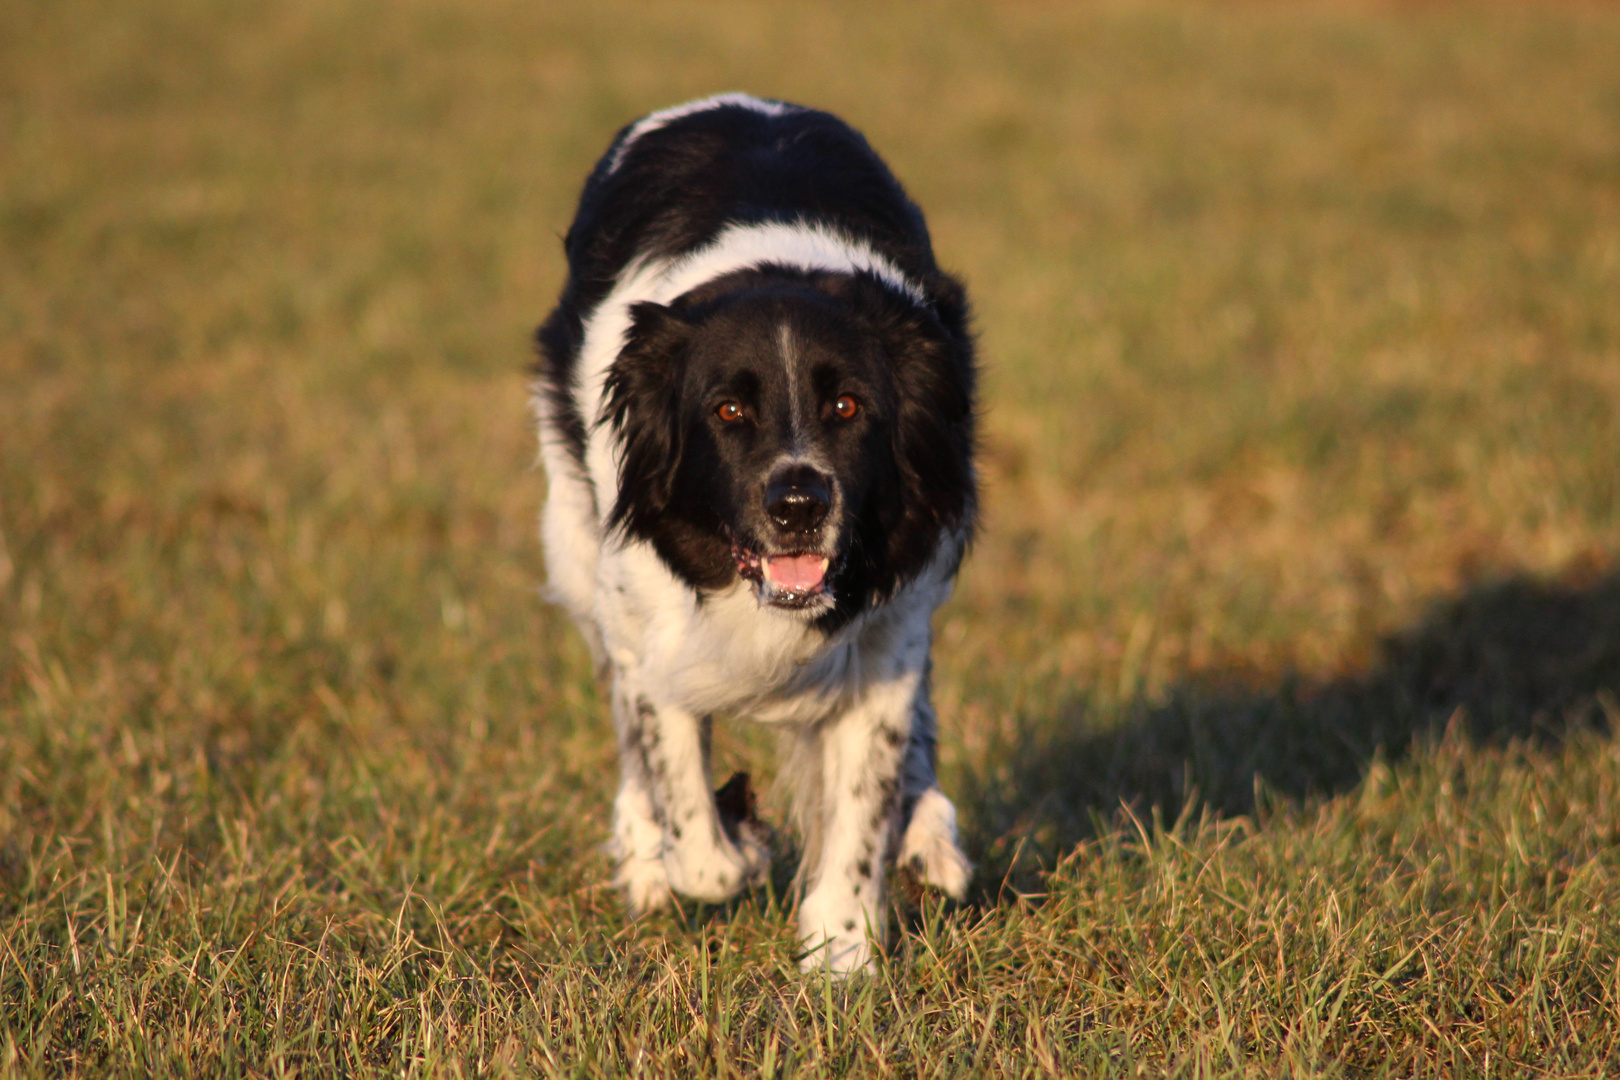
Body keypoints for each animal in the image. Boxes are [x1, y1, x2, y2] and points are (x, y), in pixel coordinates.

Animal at [537, 90, 978, 971]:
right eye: (729, 411)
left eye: (847, 406)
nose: (798, 503)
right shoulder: (650, 631)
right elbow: (693, 832)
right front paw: (730, 843)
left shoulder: (892, 627)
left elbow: (868, 797)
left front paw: (842, 955)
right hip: (573, 547)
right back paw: (645, 866)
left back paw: (932, 837)